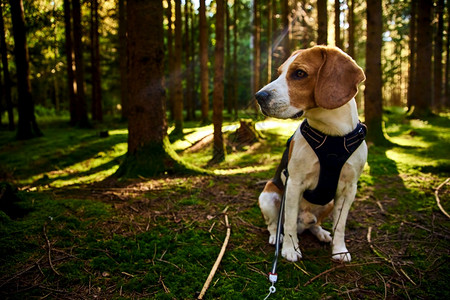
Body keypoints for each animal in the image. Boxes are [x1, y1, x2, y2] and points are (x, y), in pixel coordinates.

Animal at [256, 45, 366, 262]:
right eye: (279, 73)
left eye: (299, 73)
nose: (259, 96)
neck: (331, 134)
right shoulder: (294, 183)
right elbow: (289, 221)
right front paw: (290, 250)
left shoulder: (349, 189)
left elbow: (340, 225)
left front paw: (339, 250)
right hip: (268, 196)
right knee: (275, 224)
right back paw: (277, 238)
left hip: (329, 202)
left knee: (313, 224)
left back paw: (321, 233)